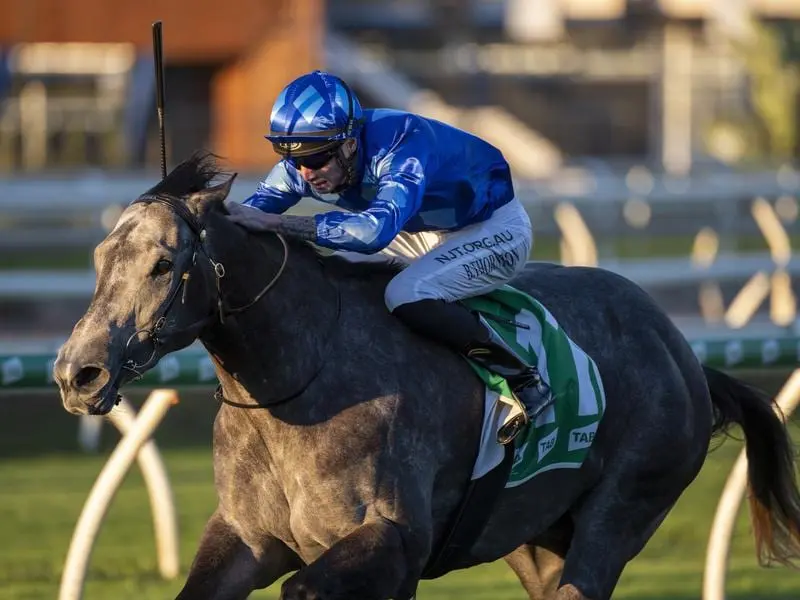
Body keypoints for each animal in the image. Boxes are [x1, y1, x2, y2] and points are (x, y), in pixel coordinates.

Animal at [53, 152, 796, 596]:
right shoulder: (247, 538)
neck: (296, 386)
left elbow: (307, 585)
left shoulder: (393, 541)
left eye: (162, 264)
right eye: (98, 258)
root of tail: (682, 353)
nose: (77, 373)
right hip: (532, 535)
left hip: (623, 508)